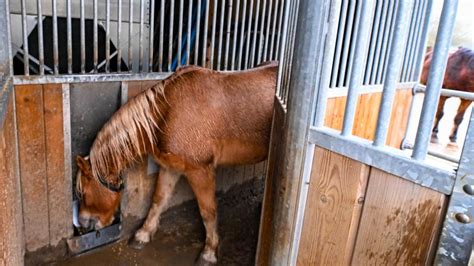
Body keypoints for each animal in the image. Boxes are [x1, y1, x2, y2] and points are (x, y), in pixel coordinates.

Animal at [74, 61, 278, 264]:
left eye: (83, 193)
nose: (83, 223)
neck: (166, 114)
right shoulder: (170, 167)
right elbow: (158, 200)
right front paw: (143, 234)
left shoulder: (200, 171)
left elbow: (208, 211)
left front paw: (209, 252)